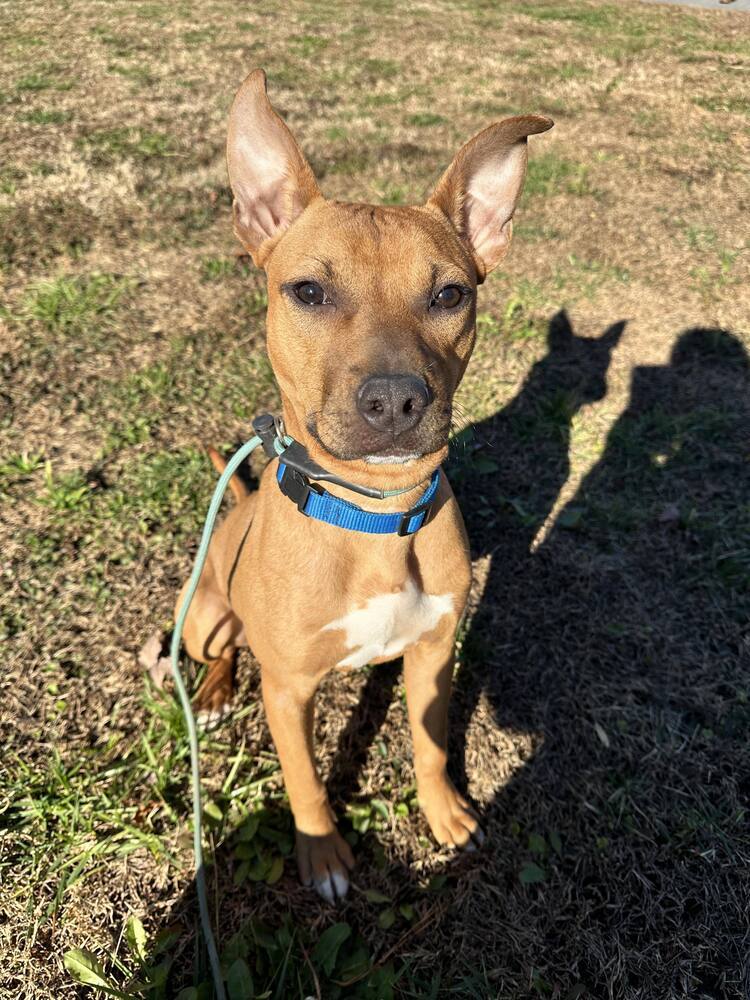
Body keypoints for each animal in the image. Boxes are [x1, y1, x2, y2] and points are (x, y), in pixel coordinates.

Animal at [175, 68, 552, 900]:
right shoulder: (288, 691)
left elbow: (433, 744)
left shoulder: (434, 655)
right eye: (308, 292)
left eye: (450, 295)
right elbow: (305, 781)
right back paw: (212, 694)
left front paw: (445, 814)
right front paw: (323, 855)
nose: (395, 400)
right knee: (219, 650)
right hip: (203, 615)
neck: (374, 517)